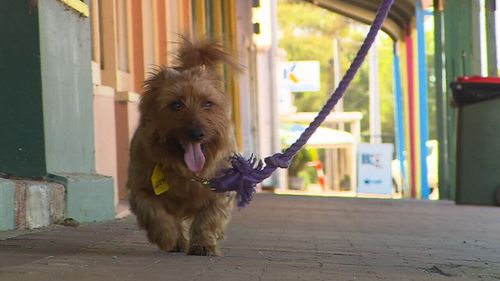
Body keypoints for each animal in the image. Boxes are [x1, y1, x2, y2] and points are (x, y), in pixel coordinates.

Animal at [127, 38, 240, 255]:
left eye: (207, 103)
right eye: (176, 104)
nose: (197, 133)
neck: (186, 171)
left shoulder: (220, 192)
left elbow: (209, 219)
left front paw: (203, 244)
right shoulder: (140, 187)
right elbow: (153, 211)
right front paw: (167, 236)